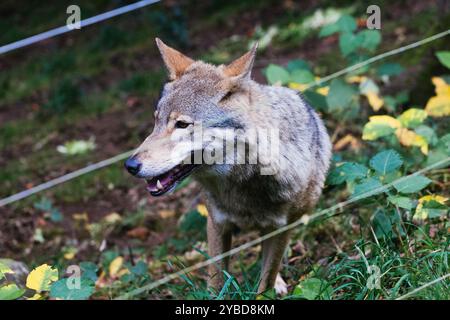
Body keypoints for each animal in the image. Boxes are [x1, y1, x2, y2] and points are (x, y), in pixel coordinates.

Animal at [125, 38, 332, 296]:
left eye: (182, 124)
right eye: (156, 120)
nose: (130, 165)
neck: (242, 183)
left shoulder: (282, 228)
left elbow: (265, 282)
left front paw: (268, 289)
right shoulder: (217, 223)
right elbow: (216, 281)